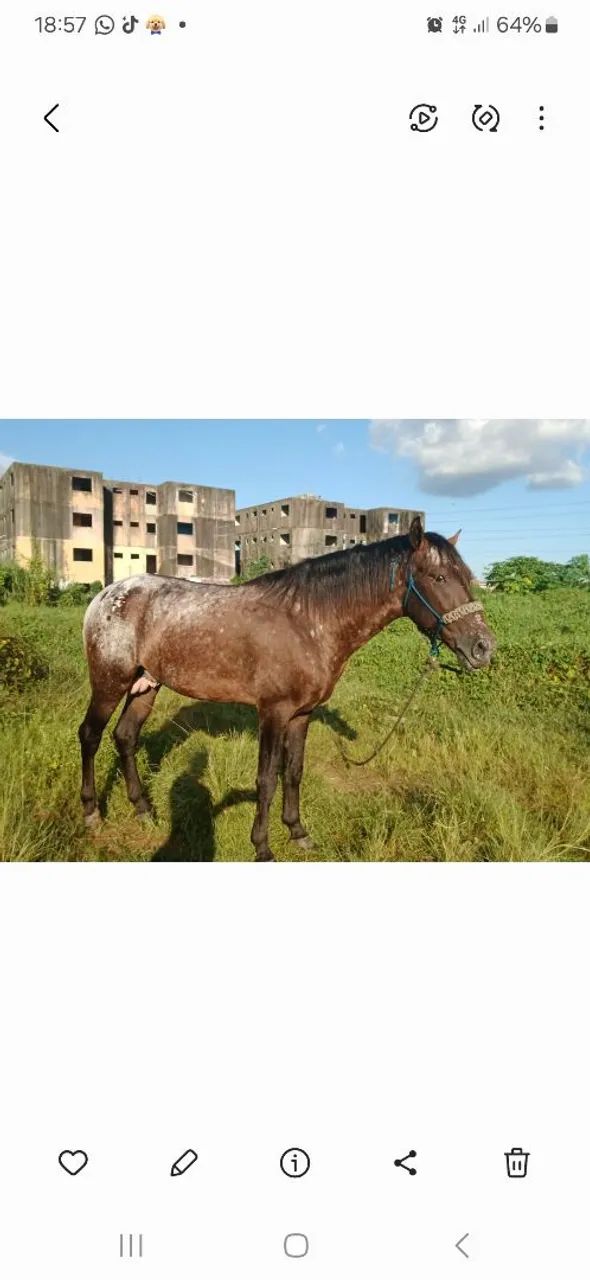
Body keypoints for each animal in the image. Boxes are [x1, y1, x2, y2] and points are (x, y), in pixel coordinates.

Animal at [78, 516, 495, 860]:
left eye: (466, 576)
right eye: (438, 578)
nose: (483, 647)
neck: (308, 621)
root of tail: (106, 595)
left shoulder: (301, 714)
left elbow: (293, 772)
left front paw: (298, 832)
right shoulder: (273, 712)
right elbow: (266, 779)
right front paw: (262, 848)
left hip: (146, 685)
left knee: (126, 737)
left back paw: (143, 810)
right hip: (110, 681)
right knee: (90, 735)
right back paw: (92, 813)